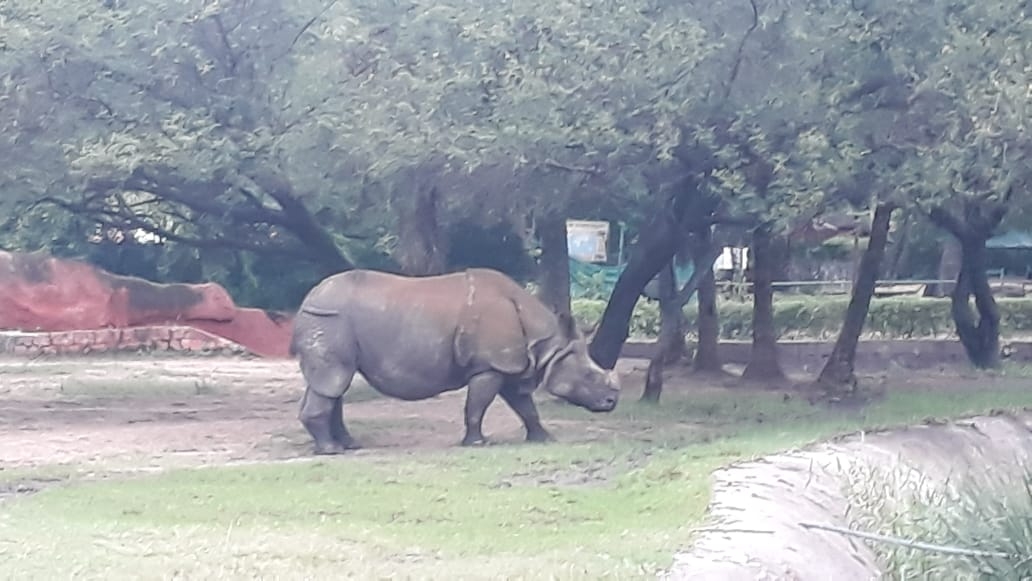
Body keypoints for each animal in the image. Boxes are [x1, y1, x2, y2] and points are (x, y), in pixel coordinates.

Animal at [290, 268, 620, 454]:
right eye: (590, 376)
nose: (611, 402)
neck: (548, 345)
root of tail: (307, 299)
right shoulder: (490, 365)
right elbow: (477, 406)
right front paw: (477, 444)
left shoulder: (510, 364)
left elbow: (526, 407)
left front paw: (545, 439)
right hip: (331, 319)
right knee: (334, 380)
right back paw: (331, 451)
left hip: (328, 319)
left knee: (331, 384)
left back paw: (348, 446)